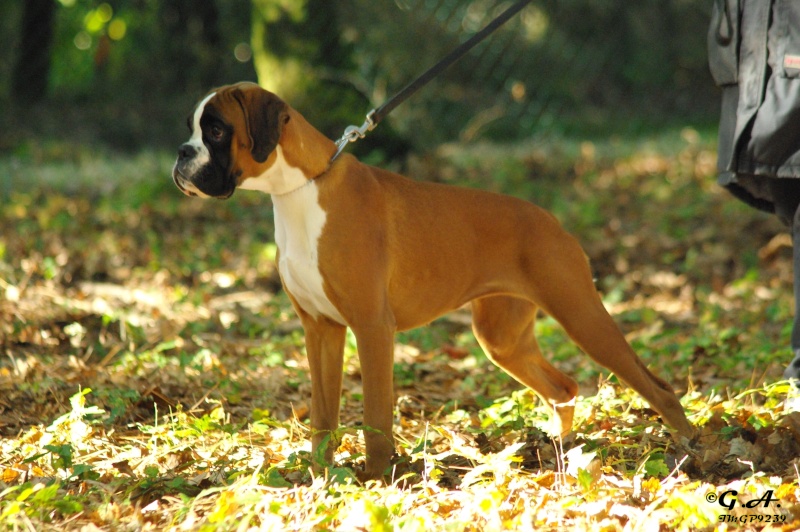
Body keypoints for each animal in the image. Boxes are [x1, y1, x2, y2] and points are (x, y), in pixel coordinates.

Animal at [172, 81, 694, 479]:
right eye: (194, 128)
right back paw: (561, 449)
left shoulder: (371, 328)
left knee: (658, 387)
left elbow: (375, 417)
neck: (301, 190)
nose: (181, 153)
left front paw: (376, 480)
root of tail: (552, 221)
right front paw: (321, 478)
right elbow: (322, 417)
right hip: (503, 339)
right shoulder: (321, 330)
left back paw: (692, 449)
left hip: (582, 318)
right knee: (563, 387)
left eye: (215, 129)